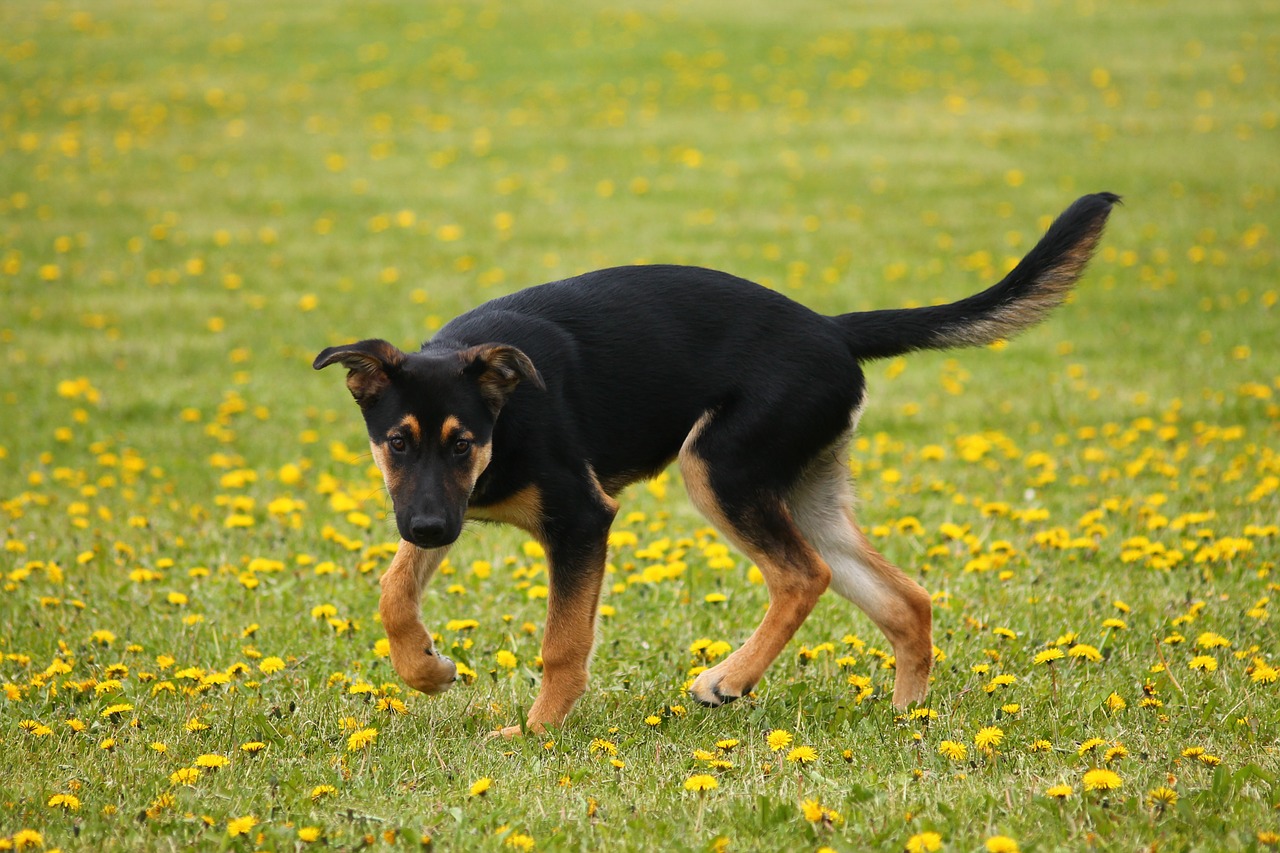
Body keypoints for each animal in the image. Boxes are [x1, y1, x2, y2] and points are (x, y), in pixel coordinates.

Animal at [317, 190, 1121, 732]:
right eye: (396, 442)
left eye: (463, 442)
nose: (427, 528)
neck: (506, 416)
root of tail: (832, 329)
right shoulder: (439, 505)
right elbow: (393, 589)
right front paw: (426, 668)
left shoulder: (580, 518)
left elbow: (562, 643)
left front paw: (537, 731)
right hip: (802, 490)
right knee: (905, 599)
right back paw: (907, 717)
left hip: (719, 468)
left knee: (803, 576)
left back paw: (727, 680)